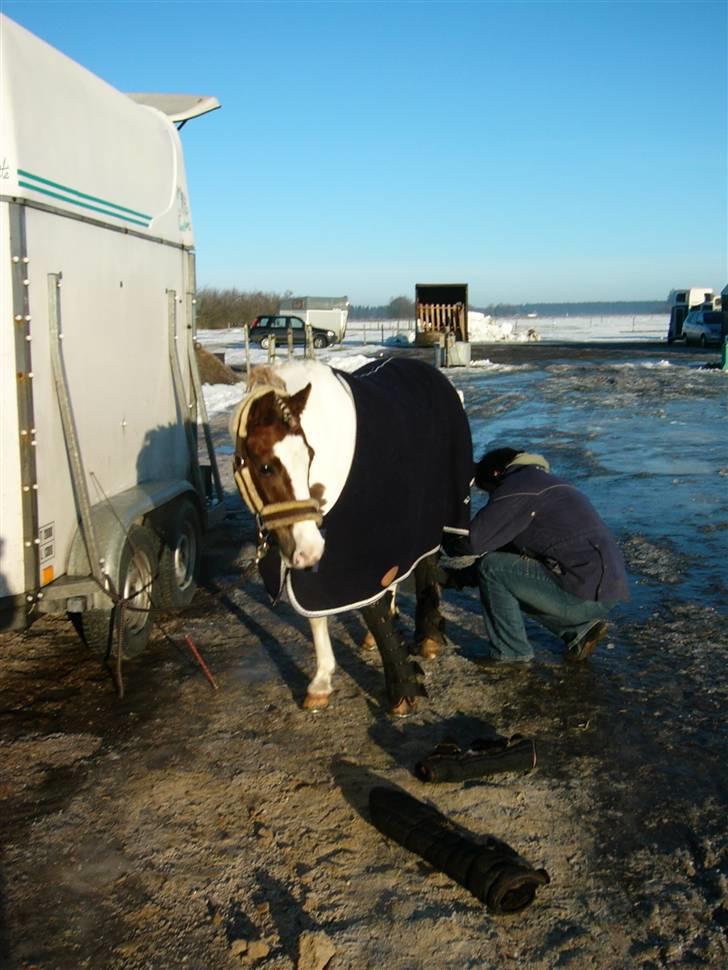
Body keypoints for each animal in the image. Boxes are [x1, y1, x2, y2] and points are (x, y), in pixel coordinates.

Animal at [230, 356, 474, 712]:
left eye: (309, 456)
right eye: (265, 466)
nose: (310, 550)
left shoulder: (357, 544)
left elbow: (371, 610)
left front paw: (403, 689)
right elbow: (317, 613)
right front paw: (321, 681)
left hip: (437, 511)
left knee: (427, 563)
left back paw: (428, 636)